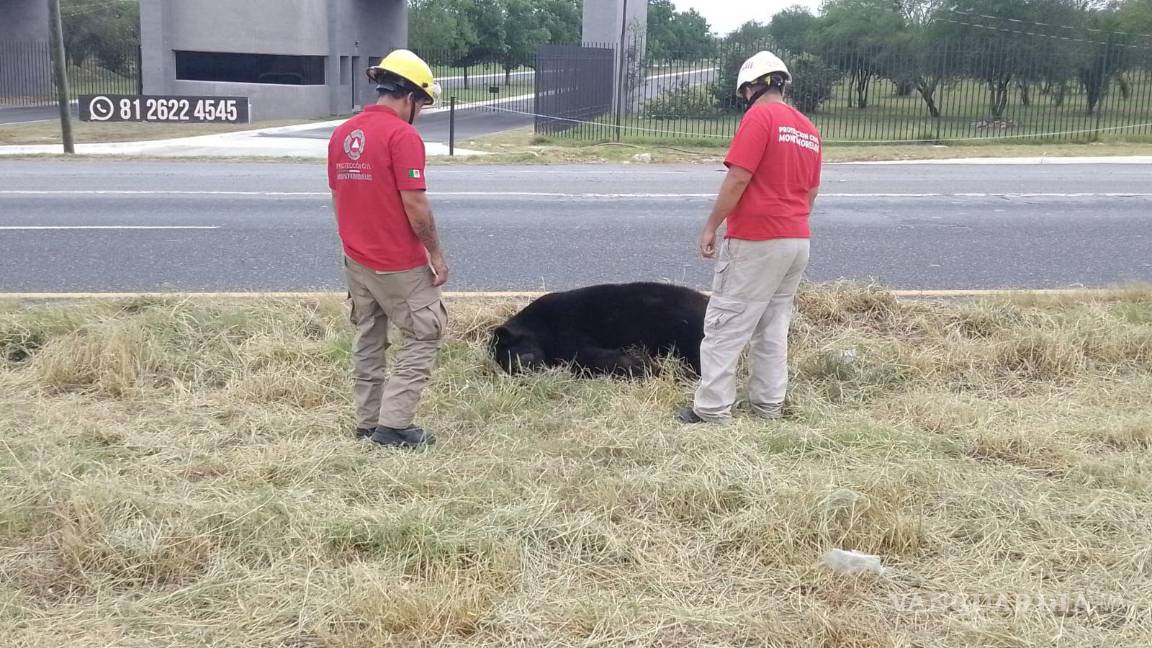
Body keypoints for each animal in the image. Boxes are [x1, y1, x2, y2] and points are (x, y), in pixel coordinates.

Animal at [489, 282, 708, 378]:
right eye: (503, 364)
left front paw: (646, 368)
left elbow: (588, 356)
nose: (521, 371)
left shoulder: (565, 327)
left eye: (510, 353)